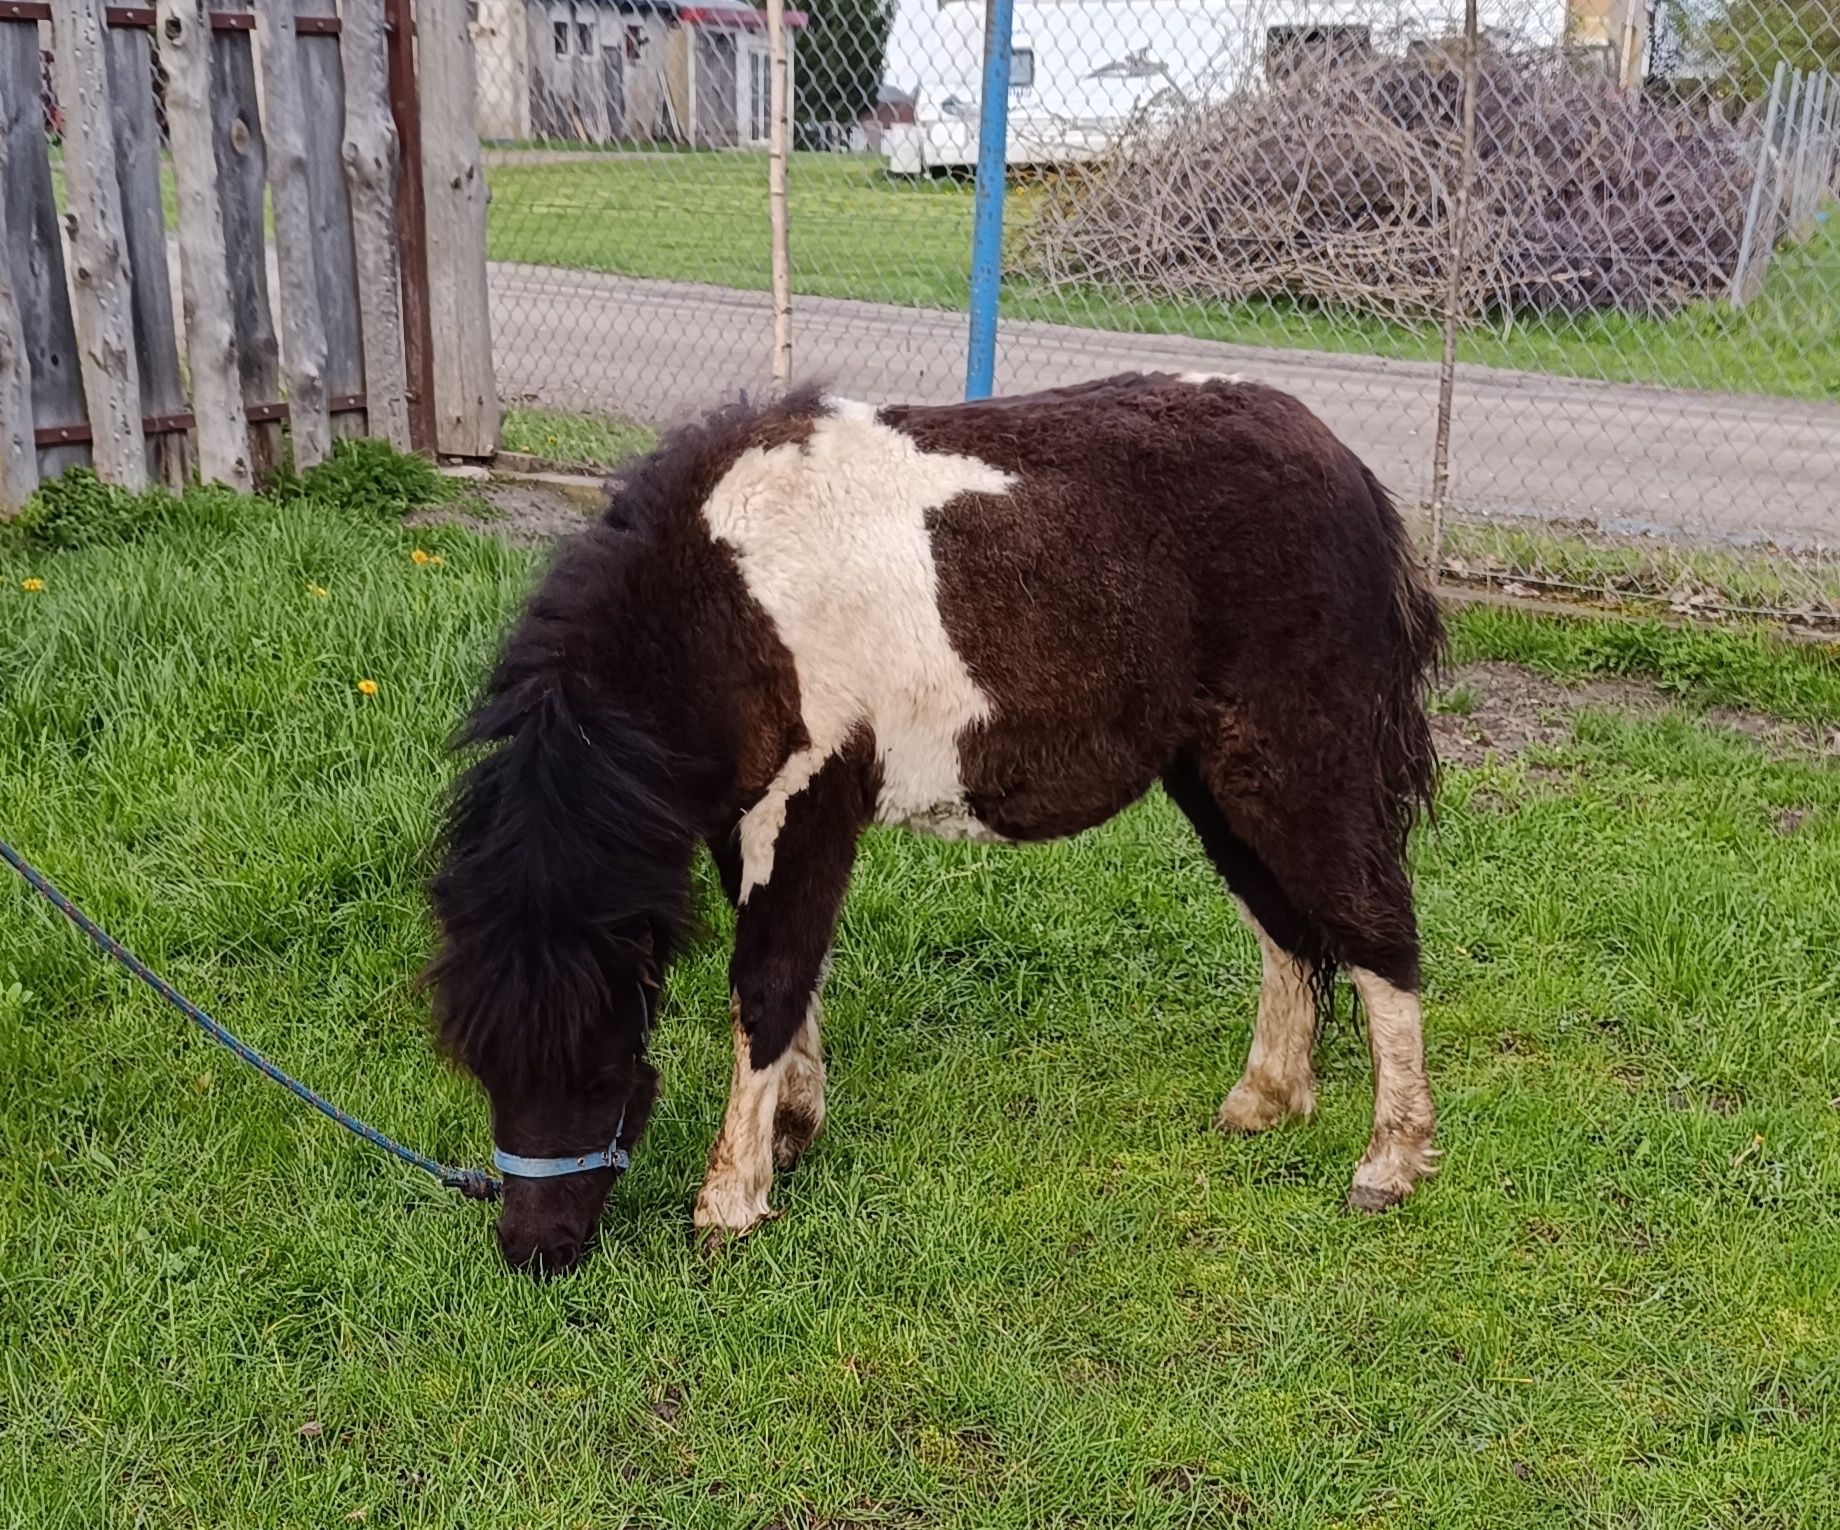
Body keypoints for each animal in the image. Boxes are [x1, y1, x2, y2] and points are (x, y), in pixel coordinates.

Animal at [423, 376, 1442, 1272]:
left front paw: (730, 1203)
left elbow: (768, 981)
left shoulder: (806, 802)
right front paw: (791, 1131)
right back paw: (1268, 1103)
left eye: (599, 1071)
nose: (537, 1252)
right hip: (1214, 776)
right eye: (484, 1070)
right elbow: (796, 973)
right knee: (1285, 929)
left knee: (1375, 926)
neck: (722, 600)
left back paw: (1390, 1164)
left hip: (1298, 764)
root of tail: (1348, 471)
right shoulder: (740, 819)